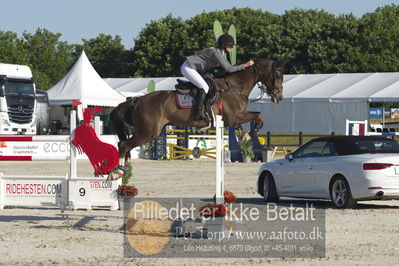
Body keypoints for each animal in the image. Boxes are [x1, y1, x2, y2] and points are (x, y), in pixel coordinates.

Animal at [111, 58, 286, 170]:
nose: (279, 97)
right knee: (124, 145)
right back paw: (121, 170)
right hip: (148, 132)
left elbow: (258, 115)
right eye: (276, 76)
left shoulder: (235, 118)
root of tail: (137, 100)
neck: (234, 87)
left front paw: (247, 135)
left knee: (125, 145)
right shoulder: (235, 117)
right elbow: (258, 116)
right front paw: (249, 135)